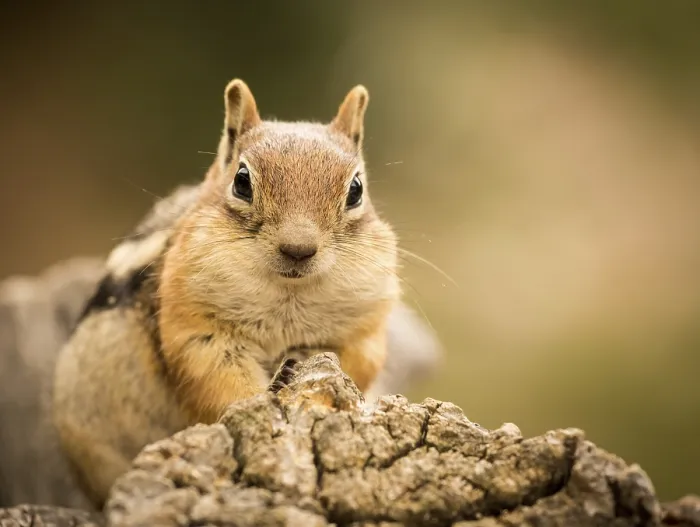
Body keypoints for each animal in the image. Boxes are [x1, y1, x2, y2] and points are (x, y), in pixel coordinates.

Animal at [52, 79, 440, 509]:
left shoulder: (365, 329)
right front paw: (271, 388)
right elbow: (219, 378)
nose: (298, 249)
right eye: (241, 182)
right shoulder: (198, 327)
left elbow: (356, 362)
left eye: (355, 190)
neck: (289, 295)